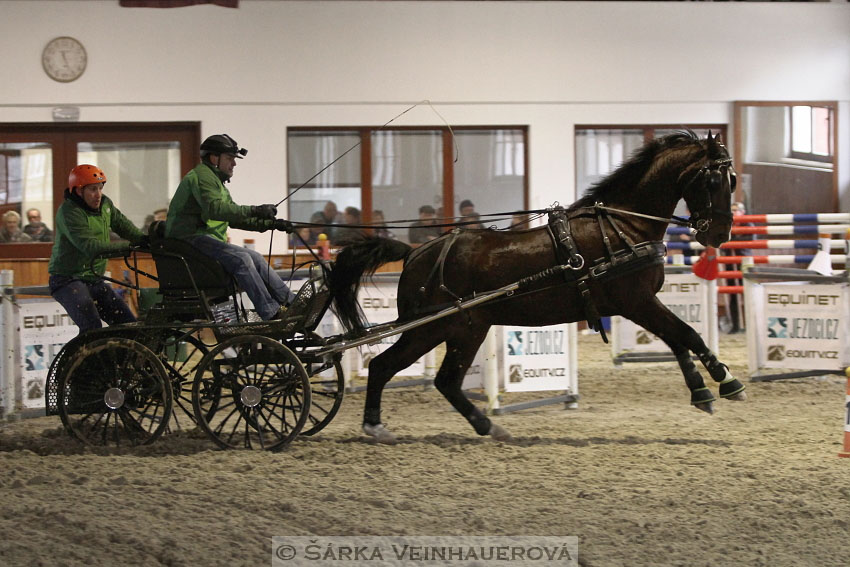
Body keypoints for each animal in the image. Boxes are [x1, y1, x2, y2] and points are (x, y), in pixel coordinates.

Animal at [328, 132, 744, 444]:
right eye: (713, 180)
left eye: (733, 180)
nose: (720, 233)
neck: (623, 226)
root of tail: (416, 253)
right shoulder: (636, 301)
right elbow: (686, 334)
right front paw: (726, 381)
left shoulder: (641, 303)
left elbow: (678, 339)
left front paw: (702, 391)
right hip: (438, 328)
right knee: (394, 367)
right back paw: (379, 426)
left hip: (459, 329)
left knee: (436, 379)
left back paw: (480, 426)